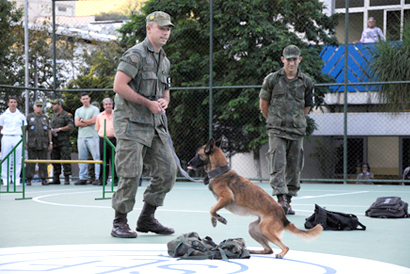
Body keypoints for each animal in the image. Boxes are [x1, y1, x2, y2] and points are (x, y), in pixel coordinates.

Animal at [188, 138, 324, 258]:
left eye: (197, 154)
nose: (188, 163)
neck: (220, 172)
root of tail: (283, 216)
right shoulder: (222, 200)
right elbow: (213, 209)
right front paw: (215, 220)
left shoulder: (226, 198)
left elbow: (211, 209)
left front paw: (219, 219)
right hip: (254, 228)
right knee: (268, 249)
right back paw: (252, 251)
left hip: (264, 230)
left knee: (284, 247)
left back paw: (280, 254)